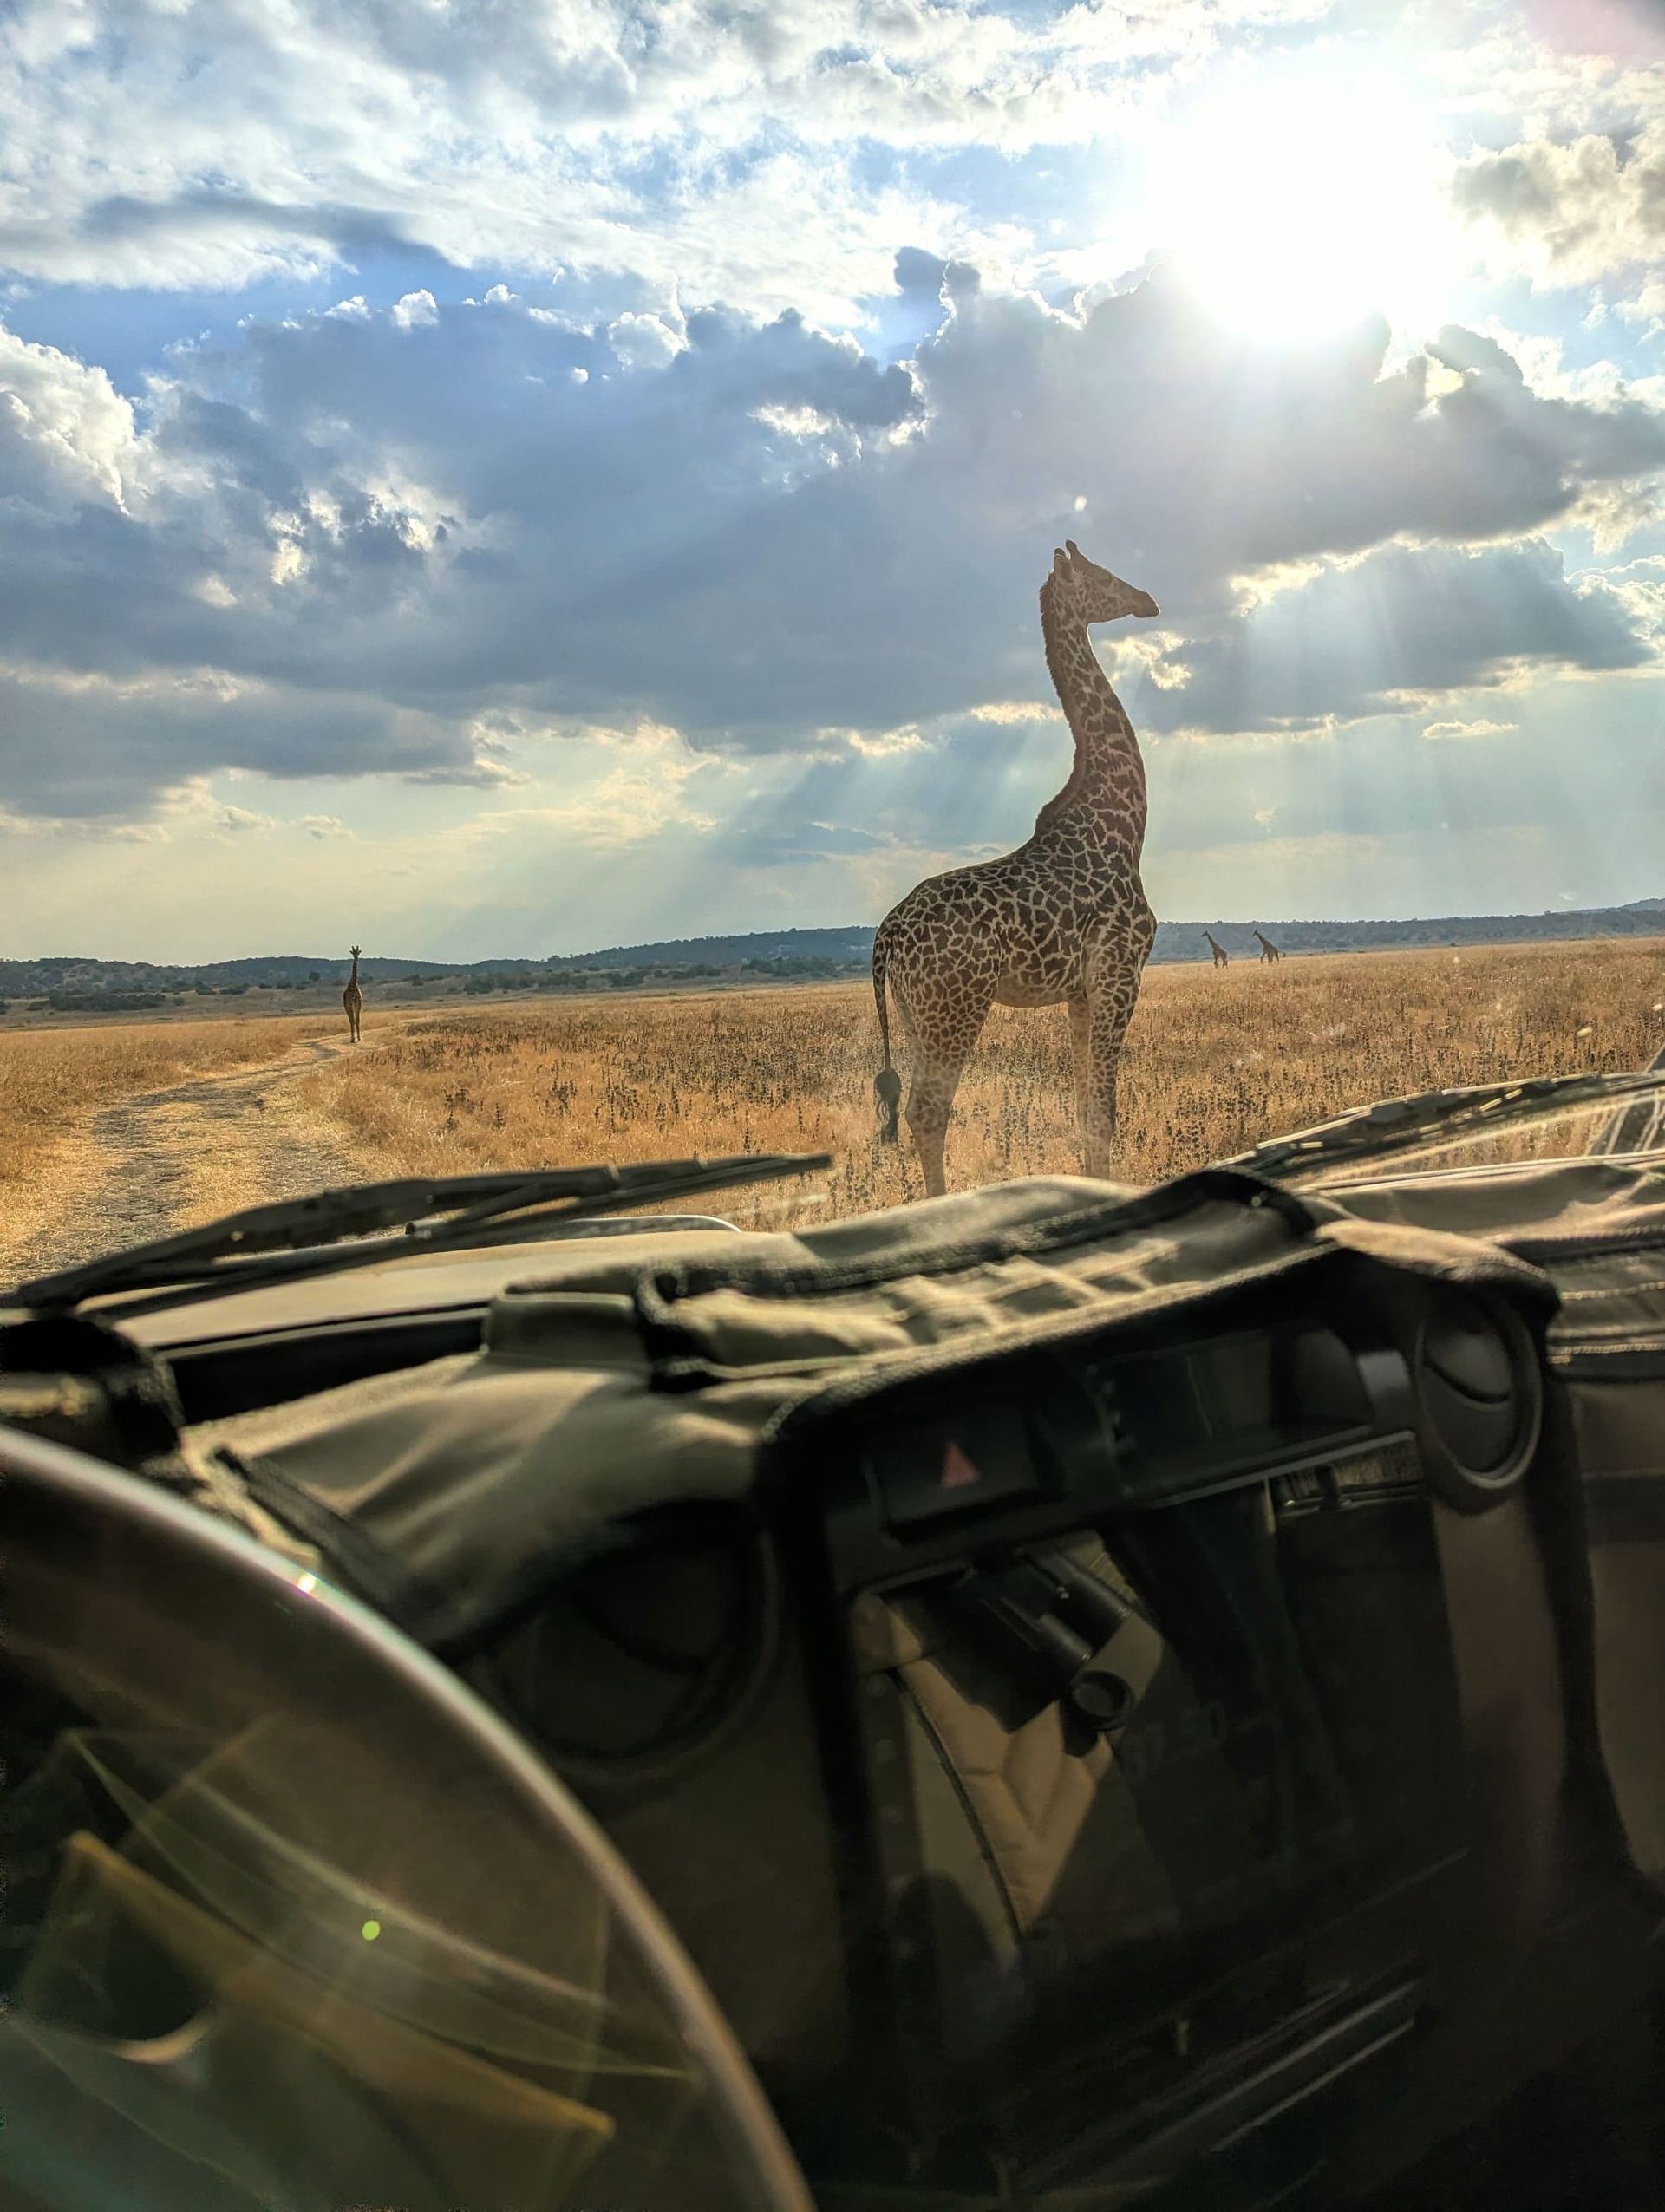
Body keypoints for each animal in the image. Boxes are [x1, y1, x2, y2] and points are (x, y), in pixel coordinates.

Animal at [873, 540, 1160, 1197]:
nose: (1147, 600)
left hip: (915, 1014)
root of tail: (886, 936)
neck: (1123, 823)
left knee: (918, 1108)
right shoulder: (1120, 971)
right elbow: (1104, 1109)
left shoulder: (1080, 991)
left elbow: (1084, 1108)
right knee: (928, 1110)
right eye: (1103, 576)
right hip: (956, 1006)